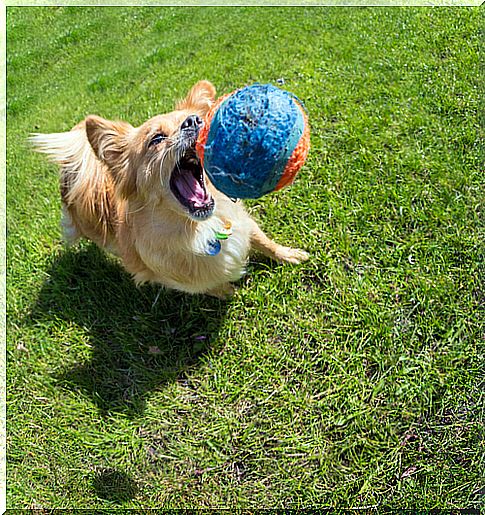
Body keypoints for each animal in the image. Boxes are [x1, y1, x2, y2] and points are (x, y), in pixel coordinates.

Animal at [32, 80, 308, 298]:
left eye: (199, 119)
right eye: (156, 139)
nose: (193, 120)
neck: (200, 229)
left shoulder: (243, 221)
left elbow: (264, 240)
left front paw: (290, 255)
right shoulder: (171, 277)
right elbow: (210, 286)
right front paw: (230, 292)